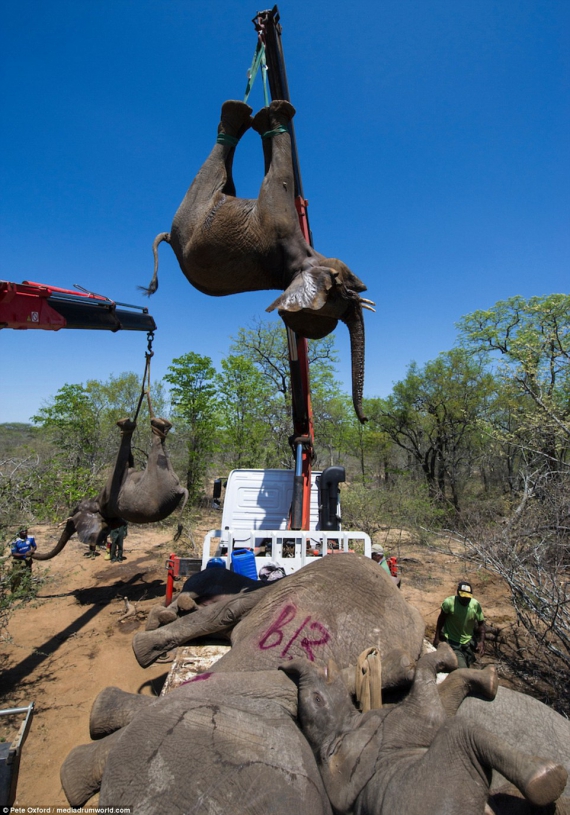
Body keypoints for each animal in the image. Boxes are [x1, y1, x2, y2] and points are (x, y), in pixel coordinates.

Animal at [33, 414, 186, 560]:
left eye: (75, 512)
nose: (32, 552)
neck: (95, 502)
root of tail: (180, 489)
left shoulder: (107, 495)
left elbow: (119, 468)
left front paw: (125, 425)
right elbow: (128, 465)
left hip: (158, 479)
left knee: (156, 448)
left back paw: (154, 424)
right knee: (161, 445)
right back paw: (162, 425)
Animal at [142, 99, 372, 424]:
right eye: (343, 291)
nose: (365, 420)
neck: (293, 269)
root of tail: (170, 237)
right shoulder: (276, 217)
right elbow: (281, 179)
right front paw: (275, 116)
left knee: (226, 176)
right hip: (191, 208)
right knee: (216, 167)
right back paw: (243, 111)